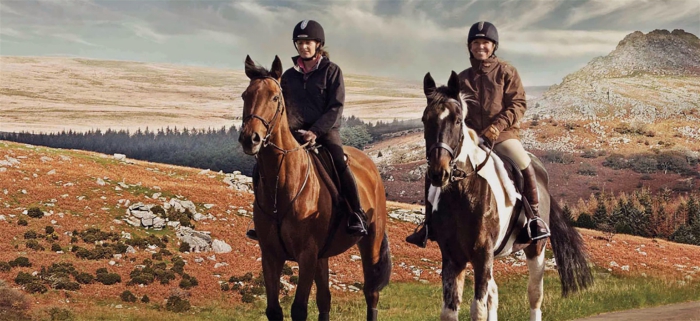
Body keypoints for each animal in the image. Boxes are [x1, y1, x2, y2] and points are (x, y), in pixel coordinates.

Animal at [238, 55, 392, 320]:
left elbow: (299, 309)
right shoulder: (271, 255)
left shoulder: (307, 255)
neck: (282, 186)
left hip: (370, 242)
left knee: (371, 293)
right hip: (323, 256)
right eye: (245, 95)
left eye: (275, 97)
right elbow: (274, 309)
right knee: (324, 300)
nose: (251, 139)